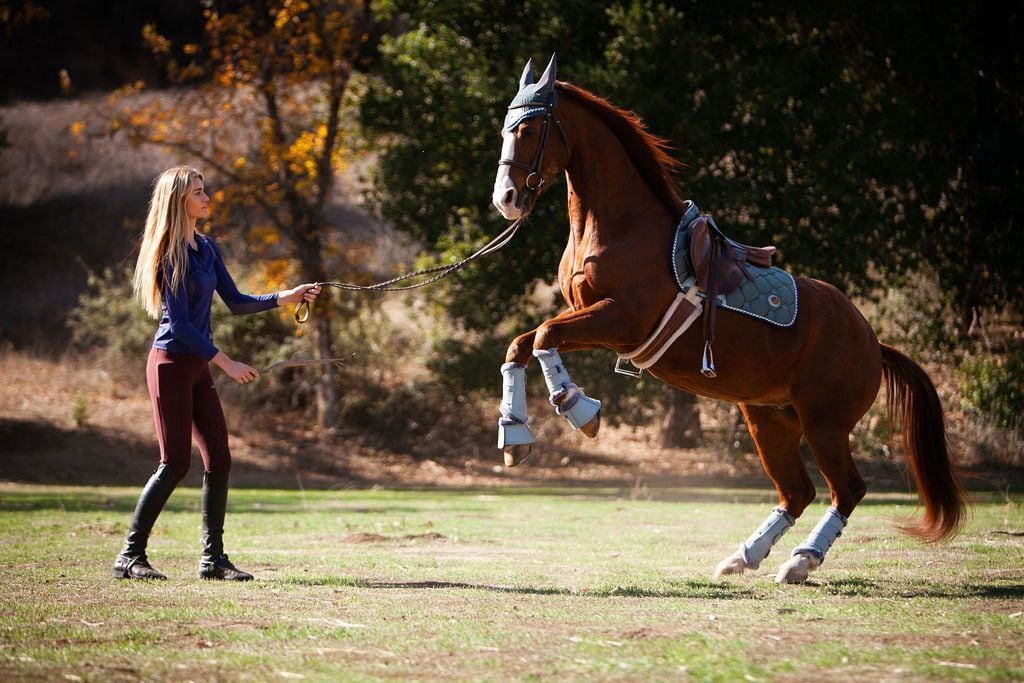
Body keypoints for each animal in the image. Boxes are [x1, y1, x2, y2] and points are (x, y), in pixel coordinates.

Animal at [491, 56, 962, 585]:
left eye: (529, 128)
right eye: (506, 129)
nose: (506, 198)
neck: (620, 227)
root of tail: (873, 342)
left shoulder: (619, 321)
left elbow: (545, 337)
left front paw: (579, 408)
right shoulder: (589, 317)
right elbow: (521, 344)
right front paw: (514, 433)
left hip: (824, 422)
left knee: (847, 489)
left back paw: (801, 560)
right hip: (769, 418)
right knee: (797, 491)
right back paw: (745, 556)